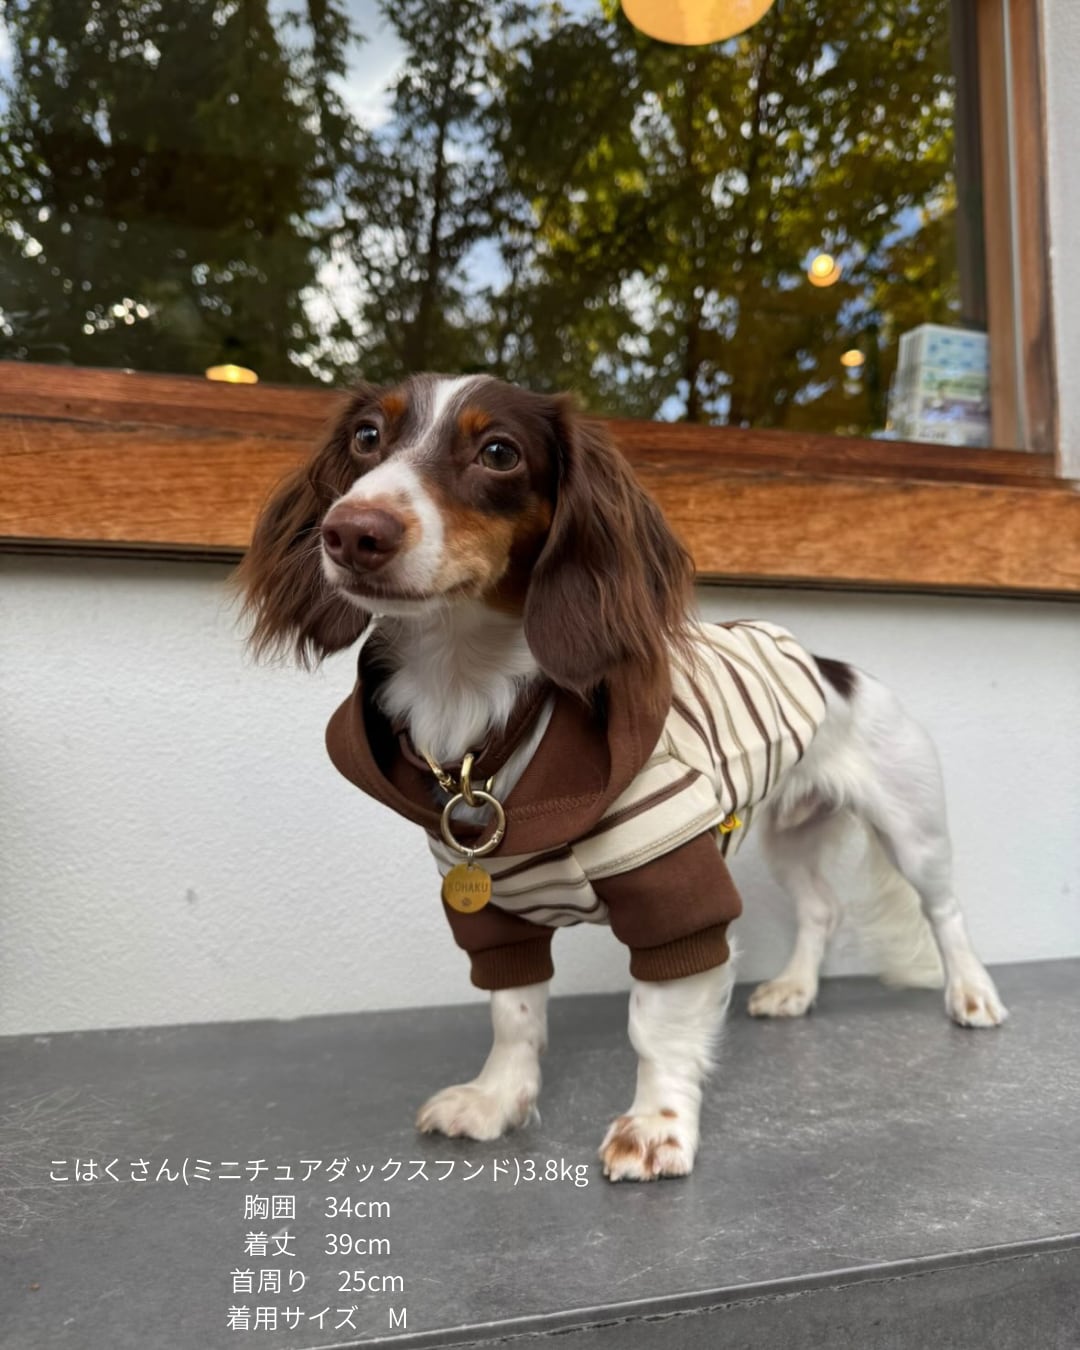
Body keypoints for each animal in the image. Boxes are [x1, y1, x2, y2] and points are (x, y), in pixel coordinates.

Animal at [238, 373, 1007, 1183]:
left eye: (499, 452)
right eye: (365, 439)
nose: (352, 532)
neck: (476, 700)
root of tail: (836, 667)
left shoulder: (678, 891)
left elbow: (656, 1023)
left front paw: (656, 1127)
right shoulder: (488, 910)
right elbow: (513, 1011)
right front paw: (498, 1099)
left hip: (913, 829)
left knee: (945, 912)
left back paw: (972, 995)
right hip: (791, 839)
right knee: (822, 910)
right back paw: (796, 989)